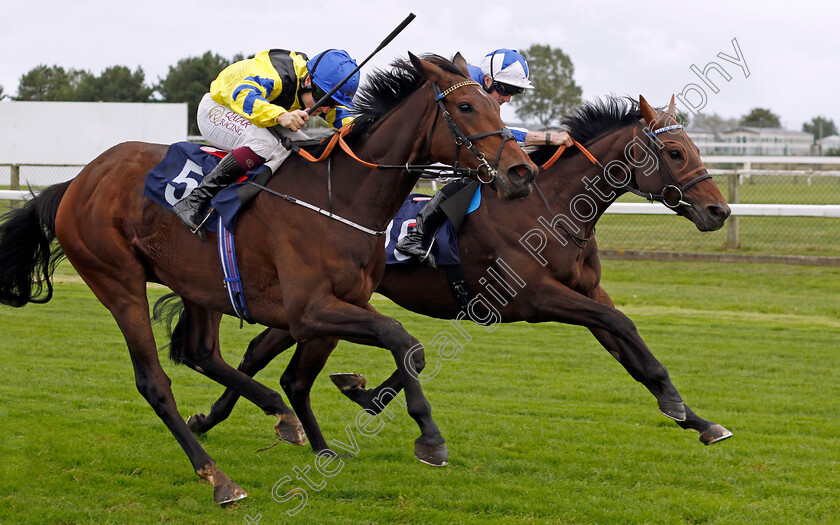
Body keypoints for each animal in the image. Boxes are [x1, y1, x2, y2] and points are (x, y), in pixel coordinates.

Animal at [0, 53, 540, 504]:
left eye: (496, 105)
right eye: (467, 106)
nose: (522, 172)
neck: (343, 197)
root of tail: (78, 180)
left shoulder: (342, 303)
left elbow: (397, 350)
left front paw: (338, 427)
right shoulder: (308, 310)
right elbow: (396, 336)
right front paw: (429, 438)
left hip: (199, 285)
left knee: (202, 353)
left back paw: (278, 415)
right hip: (118, 282)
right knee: (154, 382)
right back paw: (220, 479)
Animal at [180, 93, 732, 450]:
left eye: (695, 148)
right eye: (676, 151)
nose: (719, 211)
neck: (552, 208)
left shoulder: (587, 293)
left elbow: (631, 349)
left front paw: (698, 419)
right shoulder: (535, 298)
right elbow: (622, 325)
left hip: (320, 300)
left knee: (258, 349)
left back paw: (214, 418)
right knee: (259, 352)